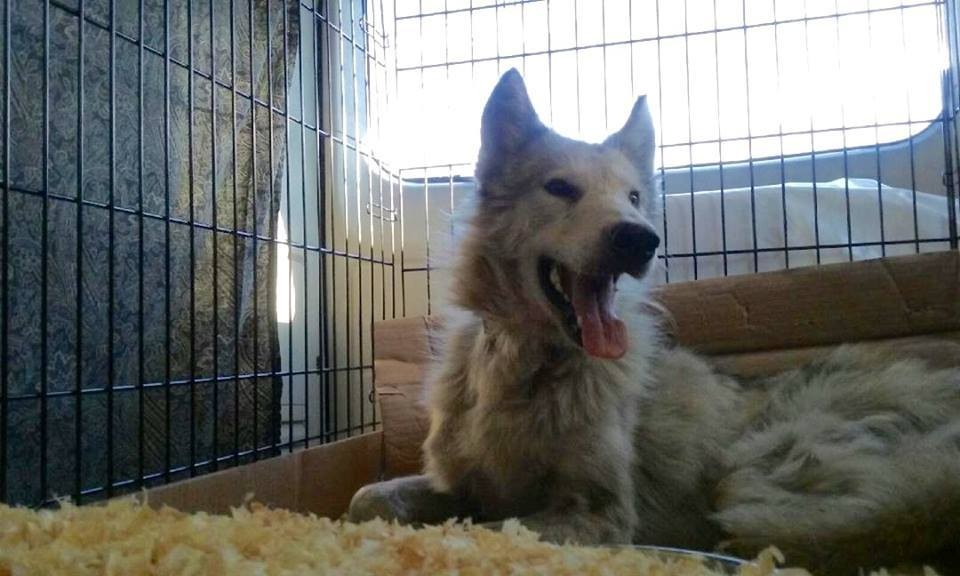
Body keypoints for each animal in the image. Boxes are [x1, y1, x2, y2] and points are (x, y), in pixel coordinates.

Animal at [348, 69, 960, 573]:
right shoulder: (457, 482)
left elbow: (489, 529)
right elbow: (365, 499)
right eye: (560, 188)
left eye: (635, 196)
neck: (528, 370)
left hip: (755, 473)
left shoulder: (600, 516)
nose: (641, 238)